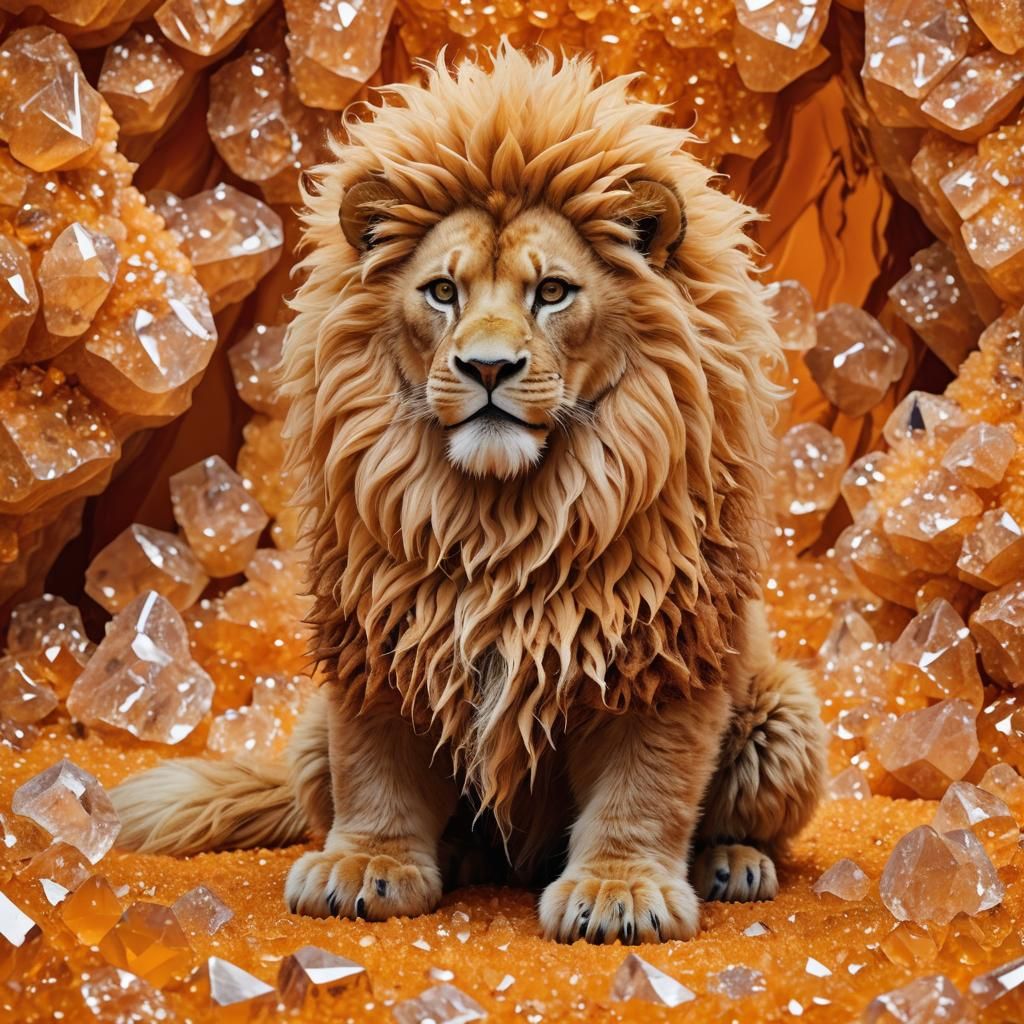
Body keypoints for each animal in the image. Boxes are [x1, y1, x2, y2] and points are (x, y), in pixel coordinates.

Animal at [111, 46, 826, 945]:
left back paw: (732, 863)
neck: (501, 516)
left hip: (783, 713)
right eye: (443, 292)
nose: (488, 368)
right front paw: (367, 868)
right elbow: (375, 769)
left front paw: (619, 893)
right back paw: (454, 857)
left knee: (742, 818)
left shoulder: (660, 655)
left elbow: (648, 786)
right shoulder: (378, 644)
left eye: (551, 292)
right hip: (309, 733)